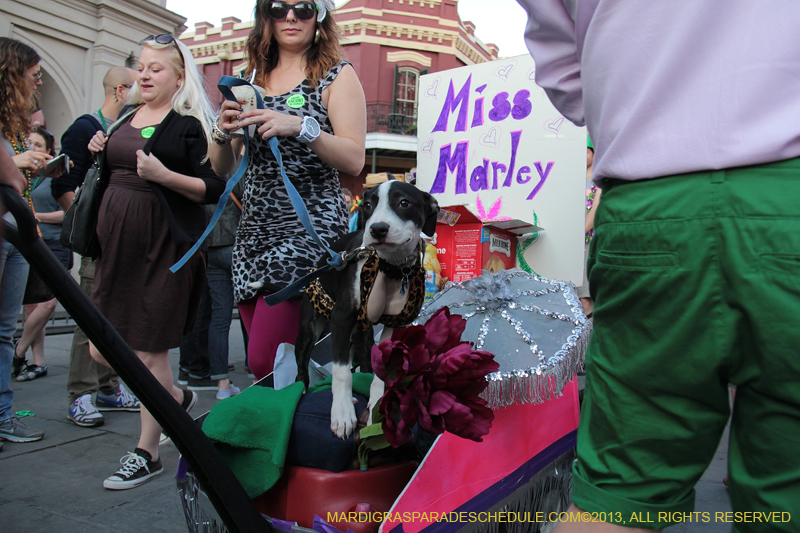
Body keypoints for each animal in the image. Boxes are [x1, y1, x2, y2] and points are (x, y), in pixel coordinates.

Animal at [296, 181, 440, 438]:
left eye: (404, 203)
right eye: (367, 206)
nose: (377, 229)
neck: (391, 267)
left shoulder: (396, 325)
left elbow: (386, 368)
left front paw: (377, 402)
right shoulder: (342, 318)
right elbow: (341, 372)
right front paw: (342, 414)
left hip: (362, 328)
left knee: (364, 357)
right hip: (309, 328)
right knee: (302, 363)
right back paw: (303, 388)